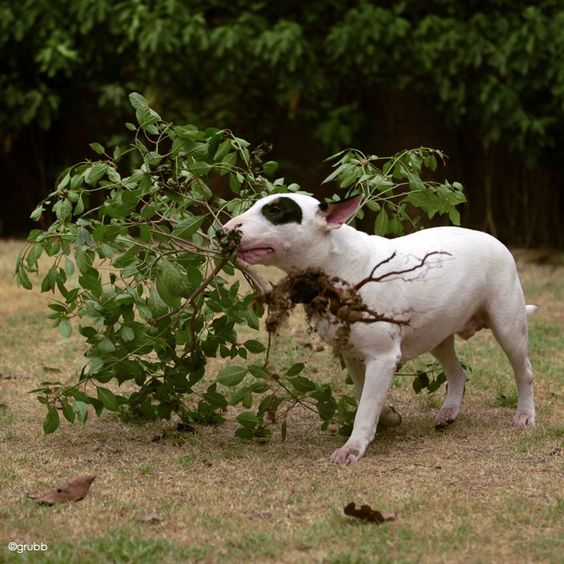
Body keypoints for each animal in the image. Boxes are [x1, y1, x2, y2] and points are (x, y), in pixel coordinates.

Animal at [223, 194, 536, 462]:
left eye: (275, 210)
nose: (221, 231)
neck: (337, 264)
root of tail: (494, 239)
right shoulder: (353, 355)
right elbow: (365, 396)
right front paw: (388, 417)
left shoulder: (382, 357)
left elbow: (365, 406)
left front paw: (352, 449)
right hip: (438, 334)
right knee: (457, 372)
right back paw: (448, 411)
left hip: (507, 324)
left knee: (524, 371)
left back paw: (525, 415)